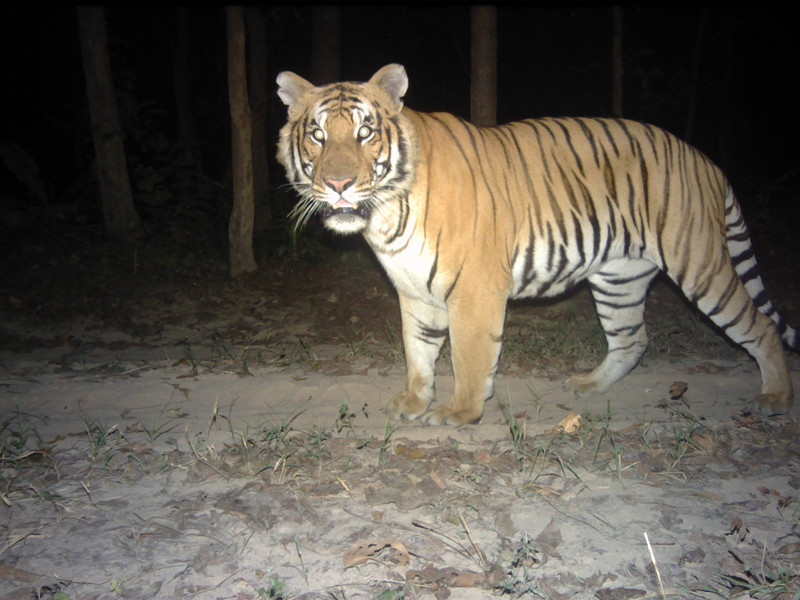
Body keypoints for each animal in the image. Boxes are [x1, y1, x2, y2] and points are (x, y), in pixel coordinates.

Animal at [276, 63, 798, 426]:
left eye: (365, 133)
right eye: (318, 136)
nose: (339, 185)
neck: (386, 213)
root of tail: (706, 160)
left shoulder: (476, 288)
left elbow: (468, 354)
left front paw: (460, 412)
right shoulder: (414, 290)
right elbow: (418, 351)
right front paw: (415, 400)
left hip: (700, 264)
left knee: (758, 326)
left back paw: (775, 397)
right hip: (619, 278)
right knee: (633, 338)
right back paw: (589, 384)